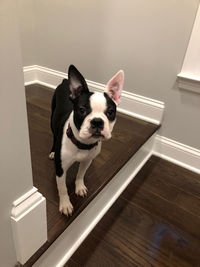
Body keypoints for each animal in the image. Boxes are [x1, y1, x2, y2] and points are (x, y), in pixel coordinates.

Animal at [49, 66, 124, 217]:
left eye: (110, 112)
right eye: (82, 110)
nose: (97, 121)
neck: (82, 143)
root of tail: (65, 81)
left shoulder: (87, 161)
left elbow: (80, 175)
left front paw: (79, 187)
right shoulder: (60, 170)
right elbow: (62, 188)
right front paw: (65, 205)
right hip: (52, 119)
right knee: (54, 135)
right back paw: (53, 151)